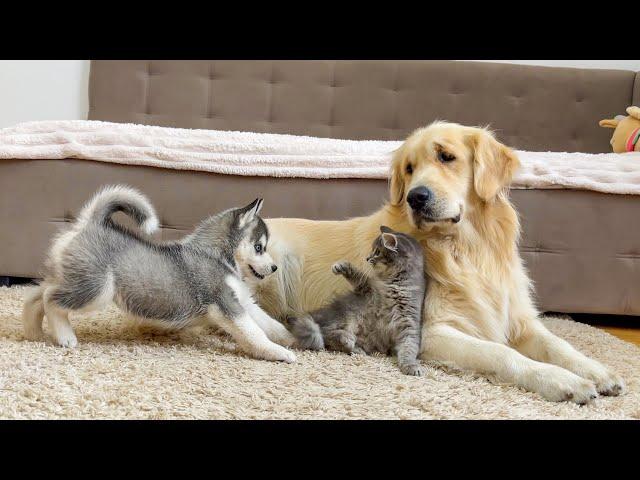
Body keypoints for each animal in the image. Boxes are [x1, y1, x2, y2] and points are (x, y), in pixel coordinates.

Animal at [21, 186, 298, 362]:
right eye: (259, 247)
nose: (274, 268)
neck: (215, 255)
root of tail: (91, 223)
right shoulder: (226, 303)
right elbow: (254, 333)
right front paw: (278, 352)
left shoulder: (244, 303)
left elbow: (269, 324)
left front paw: (291, 339)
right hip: (97, 290)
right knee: (50, 299)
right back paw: (64, 336)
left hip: (72, 279)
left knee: (36, 295)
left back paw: (34, 332)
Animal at [288, 225, 428, 376]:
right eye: (373, 250)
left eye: (377, 252)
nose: (367, 258)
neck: (393, 283)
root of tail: (320, 313)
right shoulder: (366, 291)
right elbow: (359, 276)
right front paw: (341, 266)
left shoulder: (409, 323)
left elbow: (409, 349)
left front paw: (411, 366)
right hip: (350, 315)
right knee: (324, 332)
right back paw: (347, 339)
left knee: (327, 337)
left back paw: (354, 347)